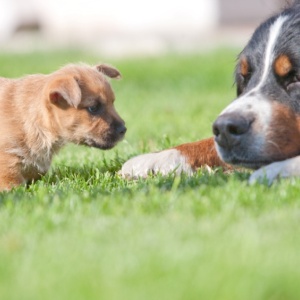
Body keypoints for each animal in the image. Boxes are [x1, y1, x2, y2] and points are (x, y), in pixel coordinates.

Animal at [120, 1, 300, 185]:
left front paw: (279, 169)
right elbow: (209, 143)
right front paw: (158, 157)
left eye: (296, 77)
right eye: (245, 78)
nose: (226, 128)